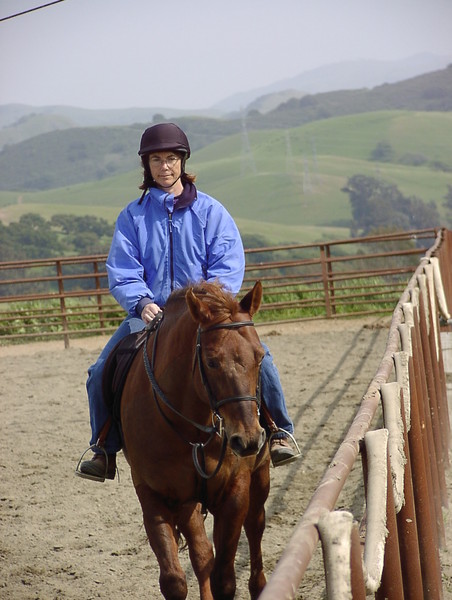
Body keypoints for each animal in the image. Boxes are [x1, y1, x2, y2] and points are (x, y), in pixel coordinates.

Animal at [120, 280, 271, 600]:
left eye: (260, 356)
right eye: (212, 362)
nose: (248, 439)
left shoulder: (235, 492)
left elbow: (224, 579)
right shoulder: (158, 495)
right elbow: (177, 578)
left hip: (260, 478)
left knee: (255, 527)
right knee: (202, 555)